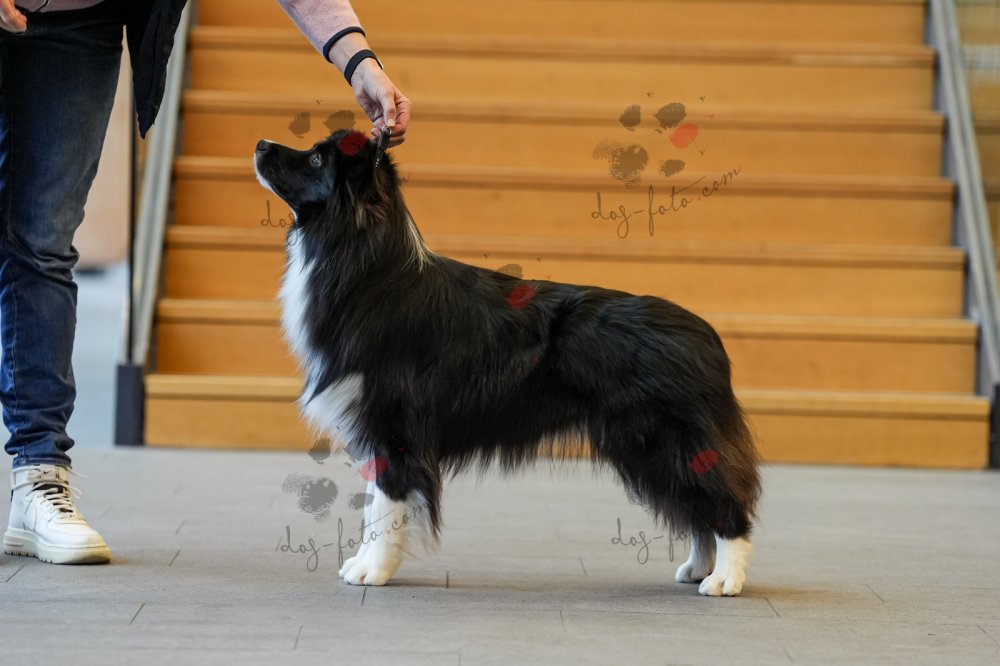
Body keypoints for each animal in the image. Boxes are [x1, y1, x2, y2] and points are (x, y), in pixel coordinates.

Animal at [253, 129, 761, 595]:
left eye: (316, 159)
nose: (260, 144)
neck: (365, 265)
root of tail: (708, 337)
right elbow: (373, 503)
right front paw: (362, 564)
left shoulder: (393, 425)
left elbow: (384, 504)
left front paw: (371, 572)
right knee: (697, 507)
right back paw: (697, 568)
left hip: (665, 438)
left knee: (724, 500)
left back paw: (724, 579)